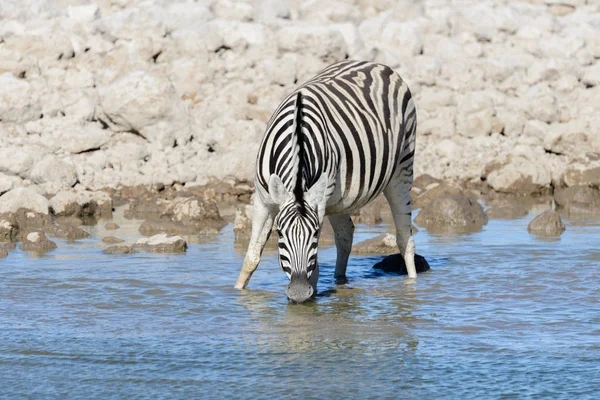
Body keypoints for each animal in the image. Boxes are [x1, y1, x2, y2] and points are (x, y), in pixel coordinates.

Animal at [234, 60, 418, 304]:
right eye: (279, 233)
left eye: (314, 234)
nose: (298, 292)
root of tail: (376, 64)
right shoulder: (263, 201)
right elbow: (252, 257)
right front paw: (238, 293)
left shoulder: (319, 205)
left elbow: (314, 267)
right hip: (340, 197)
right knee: (346, 234)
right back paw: (340, 281)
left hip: (401, 171)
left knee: (405, 238)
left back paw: (412, 285)